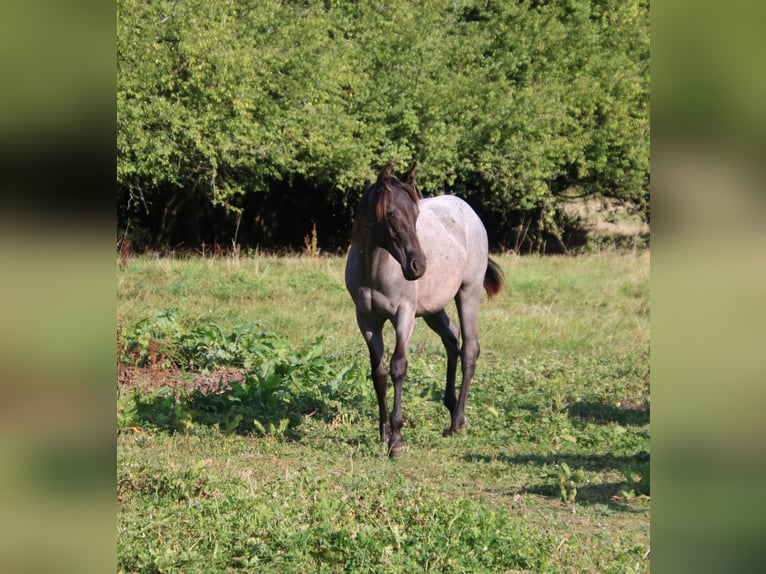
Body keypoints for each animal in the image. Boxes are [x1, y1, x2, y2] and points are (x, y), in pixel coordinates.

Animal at [345, 161, 505, 456]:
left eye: (416, 213)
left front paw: (397, 439)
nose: (418, 265)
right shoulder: (366, 320)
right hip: (433, 310)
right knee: (452, 340)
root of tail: (468, 210)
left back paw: (457, 422)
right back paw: (454, 409)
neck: (374, 268)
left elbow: (398, 367)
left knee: (469, 349)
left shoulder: (404, 315)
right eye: (391, 214)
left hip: (468, 292)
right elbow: (379, 373)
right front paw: (383, 432)